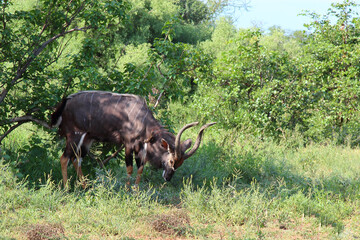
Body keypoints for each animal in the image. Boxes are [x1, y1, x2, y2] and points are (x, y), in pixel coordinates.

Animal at [50, 91, 214, 187]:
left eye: (180, 164)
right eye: (172, 161)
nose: (167, 178)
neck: (143, 121)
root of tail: (64, 104)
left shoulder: (140, 148)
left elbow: (140, 168)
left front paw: (136, 191)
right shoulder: (128, 144)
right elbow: (129, 168)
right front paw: (127, 190)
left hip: (87, 140)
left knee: (76, 159)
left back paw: (85, 188)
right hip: (74, 136)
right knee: (64, 158)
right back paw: (67, 189)